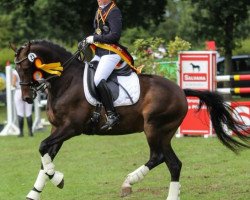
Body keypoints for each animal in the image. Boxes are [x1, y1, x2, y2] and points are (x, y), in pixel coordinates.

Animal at [12, 40, 249, 200]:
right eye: (16, 69)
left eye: (25, 67)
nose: (26, 98)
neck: (66, 81)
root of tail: (180, 91)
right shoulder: (57, 129)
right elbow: (45, 154)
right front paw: (39, 190)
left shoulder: (71, 128)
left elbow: (42, 147)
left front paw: (57, 178)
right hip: (165, 133)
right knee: (174, 164)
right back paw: (170, 195)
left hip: (153, 128)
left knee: (157, 157)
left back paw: (129, 182)